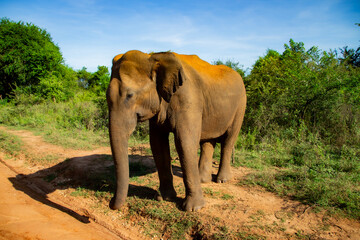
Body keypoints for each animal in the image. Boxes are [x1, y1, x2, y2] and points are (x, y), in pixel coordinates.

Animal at [107, 49, 246, 211]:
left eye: (130, 95)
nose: (110, 202)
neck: (153, 57)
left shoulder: (188, 98)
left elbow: (184, 143)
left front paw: (193, 209)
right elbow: (157, 143)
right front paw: (163, 198)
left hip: (241, 105)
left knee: (229, 139)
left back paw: (222, 180)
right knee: (207, 141)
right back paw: (203, 180)